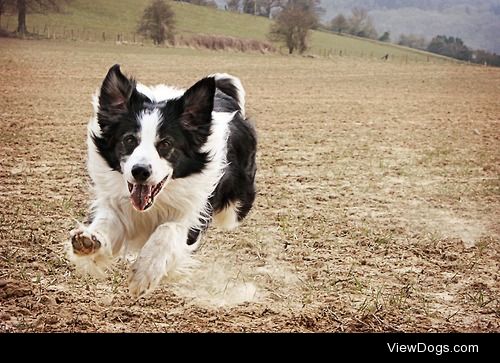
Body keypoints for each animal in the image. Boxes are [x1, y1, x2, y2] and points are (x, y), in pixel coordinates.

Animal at [69, 65, 258, 298]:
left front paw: (145, 272)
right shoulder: (116, 202)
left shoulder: (194, 212)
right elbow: (107, 221)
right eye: (129, 139)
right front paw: (89, 240)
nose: (140, 171)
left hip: (235, 206)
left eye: (166, 143)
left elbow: (168, 229)